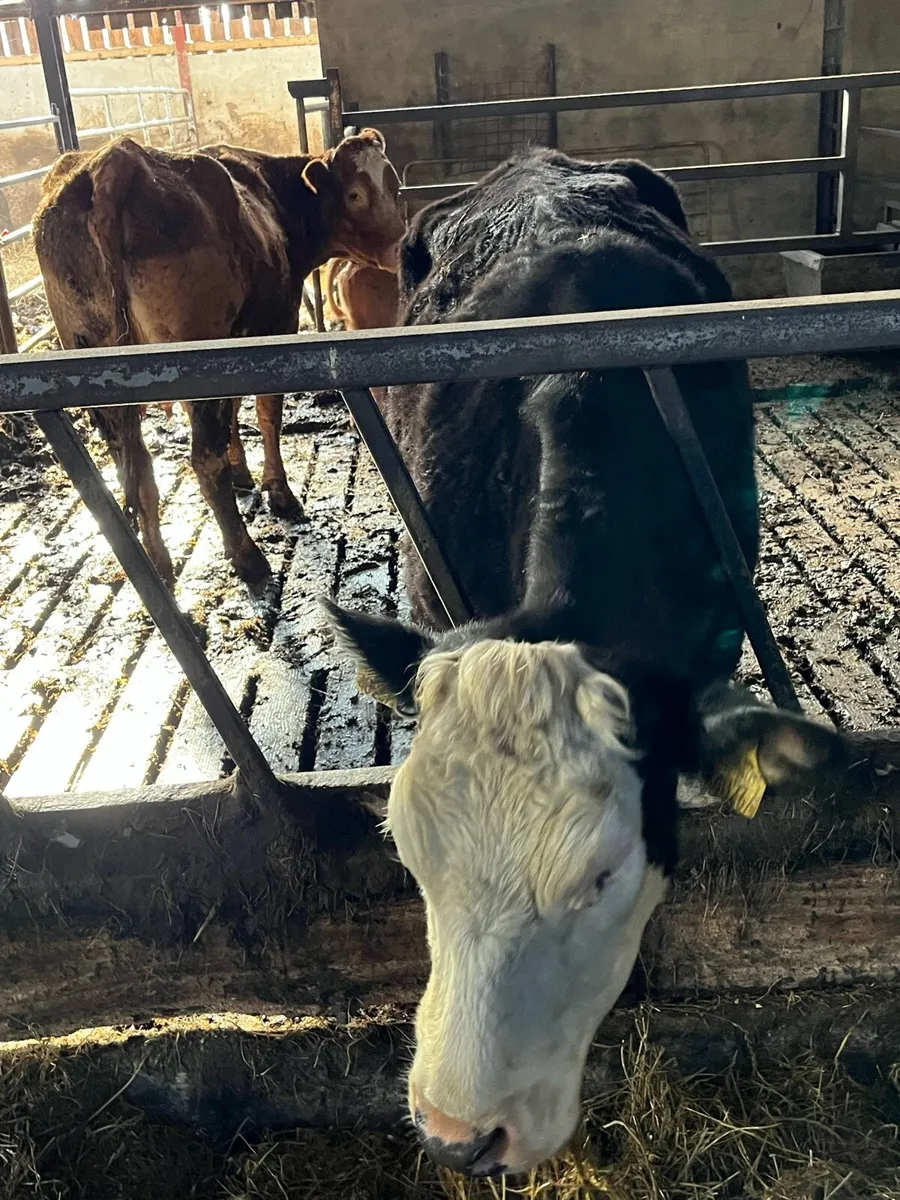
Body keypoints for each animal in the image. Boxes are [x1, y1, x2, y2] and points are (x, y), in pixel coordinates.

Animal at [33, 129, 405, 585]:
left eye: (394, 185)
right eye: (355, 194)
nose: (400, 247)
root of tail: (115, 161)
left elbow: (233, 412)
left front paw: (242, 472)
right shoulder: (274, 325)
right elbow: (266, 412)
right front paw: (278, 491)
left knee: (132, 464)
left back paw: (158, 561)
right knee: (203, 460)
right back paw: (247, 556)